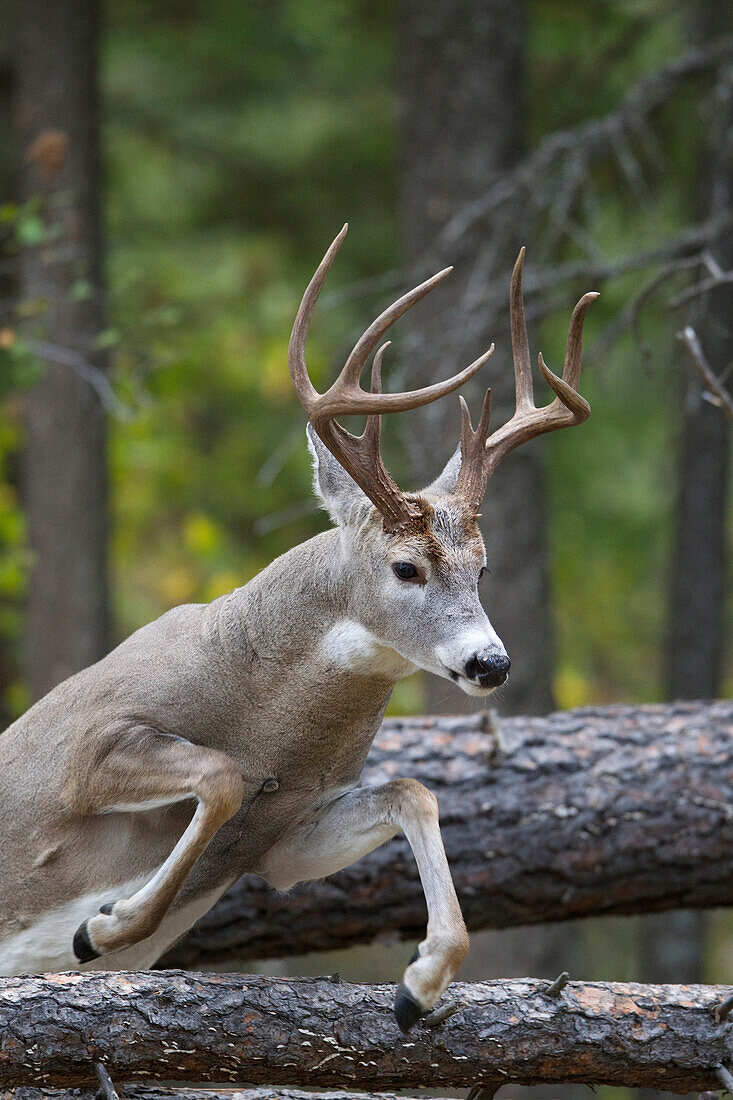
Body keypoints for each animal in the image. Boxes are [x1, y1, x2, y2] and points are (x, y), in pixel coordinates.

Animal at [0, 225, 594, 1029]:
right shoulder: (87, 748)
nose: (490, 663)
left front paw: (420, 984)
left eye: (485, 567)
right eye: (406, 567)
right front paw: (104, 926)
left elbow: (414, 791)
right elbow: (221, 775)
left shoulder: (285, 838)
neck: (268, 717)